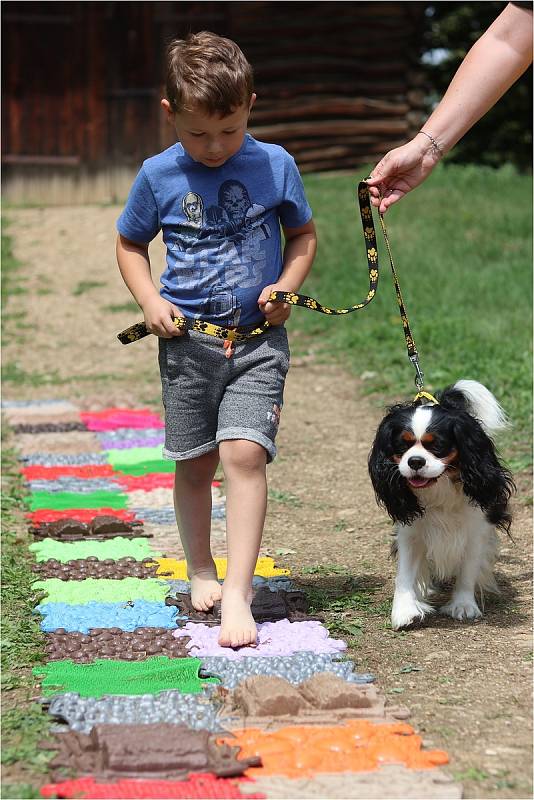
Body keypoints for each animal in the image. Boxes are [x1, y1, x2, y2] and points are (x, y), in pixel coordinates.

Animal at [370, 382, 516, 632]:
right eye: (402, 445)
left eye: (437, 445)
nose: (415, 461)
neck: (440, 487)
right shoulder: (410, 531)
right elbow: (405, 573)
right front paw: (404, 610)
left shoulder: (476, 530)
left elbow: (468, 569)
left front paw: (463, 605)